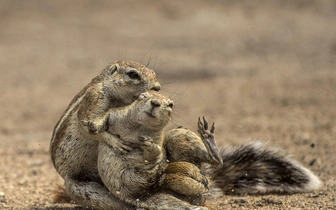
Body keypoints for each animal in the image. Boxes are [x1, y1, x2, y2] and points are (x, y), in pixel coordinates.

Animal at [49, 60, 161, 209]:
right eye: (132, 74)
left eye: (154, 73)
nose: (157, 88)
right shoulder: (95, 96)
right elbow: (88, 126)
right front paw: (117, 143)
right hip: (77, 186)